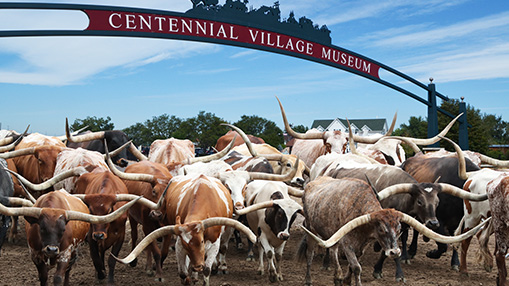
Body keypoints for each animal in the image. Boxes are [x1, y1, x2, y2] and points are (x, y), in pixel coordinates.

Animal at [116, 174, 256, 286]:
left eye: (201, 242)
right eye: (185, 245)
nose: (198, 266)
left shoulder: (214, 243)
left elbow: (207, 270)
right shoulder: (179, 244)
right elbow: (183, 273)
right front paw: (189, 278)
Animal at [298, 177, 488, 286]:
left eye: (398, 229)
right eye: (381, 229)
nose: (395, 252)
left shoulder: (360, 247)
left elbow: (352, 266)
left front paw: (344, 279)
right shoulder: (347, 244)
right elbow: (357, 267)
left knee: (333, 250)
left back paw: (336, 276)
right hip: (310, 230)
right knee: (310, 254)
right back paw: (308, 279)